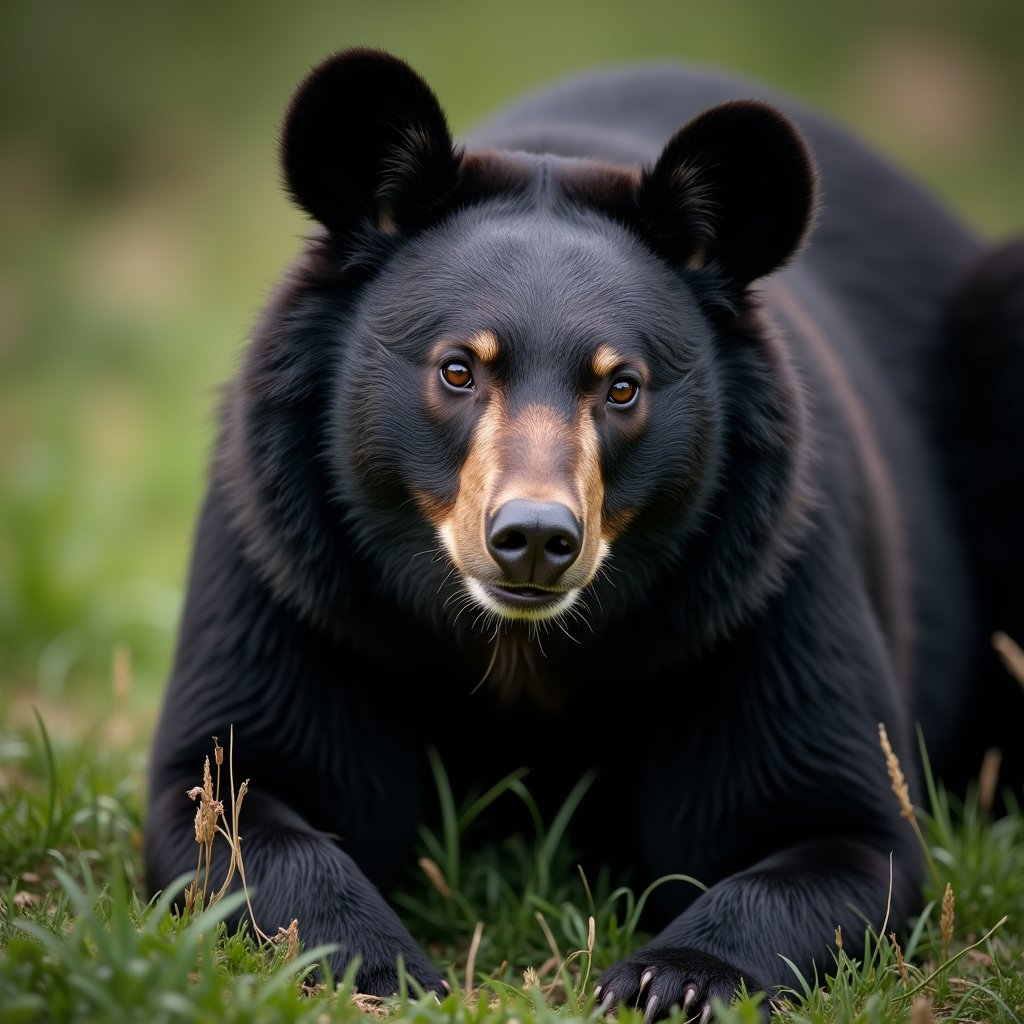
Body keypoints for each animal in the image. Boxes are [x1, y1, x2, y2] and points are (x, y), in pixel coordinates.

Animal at [145, 49, 1024, 1019]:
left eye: (622, 386)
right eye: (459, 369)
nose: (533, 538)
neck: (521, 651)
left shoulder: (766, 589)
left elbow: (844, 827)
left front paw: (673, 978)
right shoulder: (293, 578)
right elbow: (228, 797)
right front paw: (377, 967)